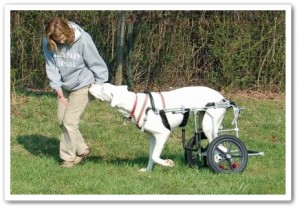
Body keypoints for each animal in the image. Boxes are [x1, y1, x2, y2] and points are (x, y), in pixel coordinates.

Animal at [88, 83, 225, 171]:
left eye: (102, 88)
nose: (90, 85)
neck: (136, 104)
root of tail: (223, 98)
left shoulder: (163, 134)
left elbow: (155, 156)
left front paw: (168, 163)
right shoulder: (153, 137)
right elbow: (151, 156)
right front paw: (148, 171)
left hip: (209, 127)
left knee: (220, 148)